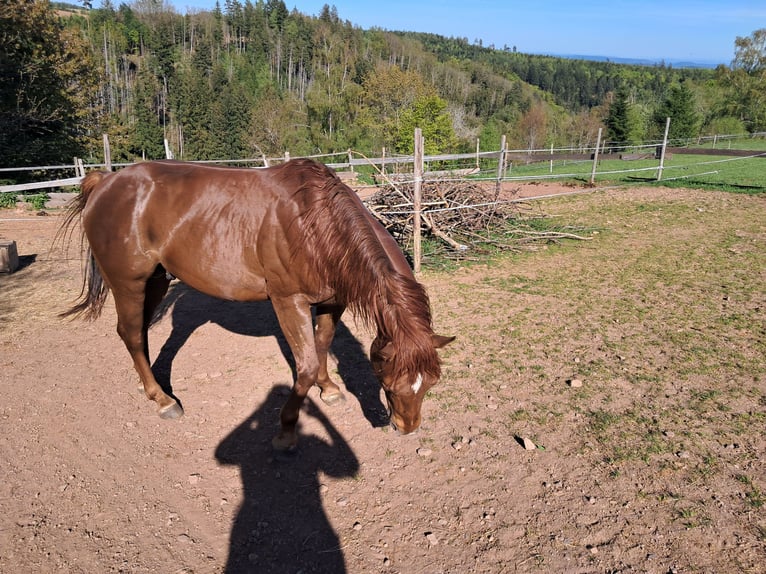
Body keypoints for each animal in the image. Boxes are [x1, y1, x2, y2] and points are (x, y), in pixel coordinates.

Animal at [59, 158, 454, 450]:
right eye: (389, 381)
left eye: (430, 383)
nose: (406, 428)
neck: (317, 224)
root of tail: (105, 182)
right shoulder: (288, 301)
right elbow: (305, 365)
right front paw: (287, 429)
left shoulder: (333, 301)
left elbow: (321, 345)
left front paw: (329, 389)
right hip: (129, 284)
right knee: (130, 333)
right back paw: (163, 400)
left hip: (156, 280)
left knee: (138, 333)